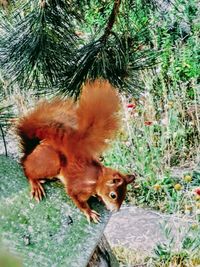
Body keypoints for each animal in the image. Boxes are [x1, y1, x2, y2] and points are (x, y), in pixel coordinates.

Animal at [16, 80, 136, 224]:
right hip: (51, 161)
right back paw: (35, 184)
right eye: (113, 195)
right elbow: (78, 200)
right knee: (27, 169)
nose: (116, 211)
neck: (96, 179)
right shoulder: (78, 188)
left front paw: (99, 198)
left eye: (124, 195)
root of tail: (30, 151)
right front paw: (90, 213)